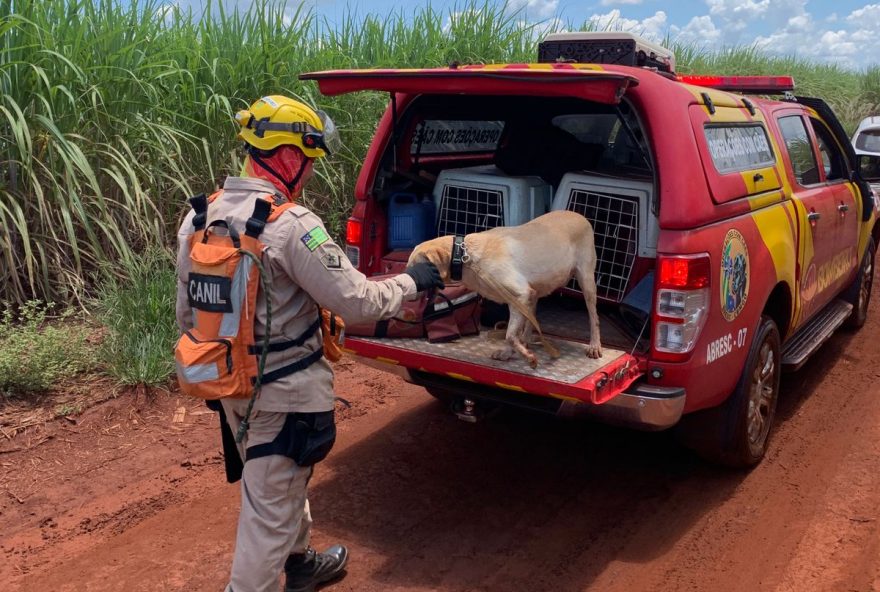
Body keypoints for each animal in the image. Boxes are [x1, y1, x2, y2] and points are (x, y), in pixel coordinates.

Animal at [408, 210, 600, 368]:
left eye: (415, 272)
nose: (407, 297)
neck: (465, 256)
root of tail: (580, 216)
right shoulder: (519, 299)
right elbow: (512, 334)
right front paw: (510, 353)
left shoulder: (520, 294)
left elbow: (509, 335)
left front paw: (527, 357)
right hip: (536, 290)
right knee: (530, 320)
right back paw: (527, 340)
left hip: (587, 282)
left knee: (594, 318)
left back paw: (595, 345)